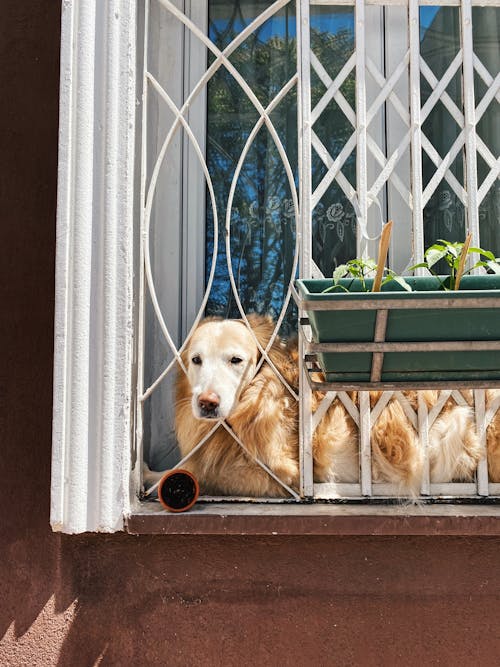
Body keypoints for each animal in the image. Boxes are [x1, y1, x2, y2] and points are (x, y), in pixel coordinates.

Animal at [144, 316, 496, 498]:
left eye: (235, 360)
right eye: (196, 360)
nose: (207, 403)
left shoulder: (286, 474)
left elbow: (205, 471)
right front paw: (151, 473)